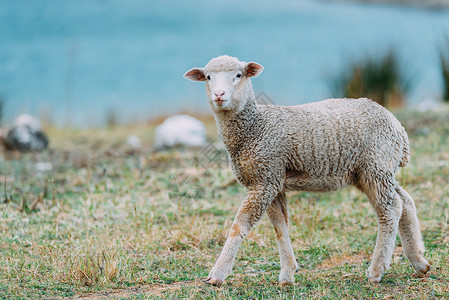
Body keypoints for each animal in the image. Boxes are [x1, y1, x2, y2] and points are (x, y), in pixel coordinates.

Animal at [183, 55, 430, 288]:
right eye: (208, 77)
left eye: (238, 75)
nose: (219, 94)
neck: (255, 128)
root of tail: (399, 129)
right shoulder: (273, 181)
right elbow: (280, 226)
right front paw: (287, 274)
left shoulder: (265, 180)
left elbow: (239, 226)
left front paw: (217, 274)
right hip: (372, 171)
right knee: (405, 201)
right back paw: (419, 260)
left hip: (376, 167)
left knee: (390, 209)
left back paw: (377, 270)